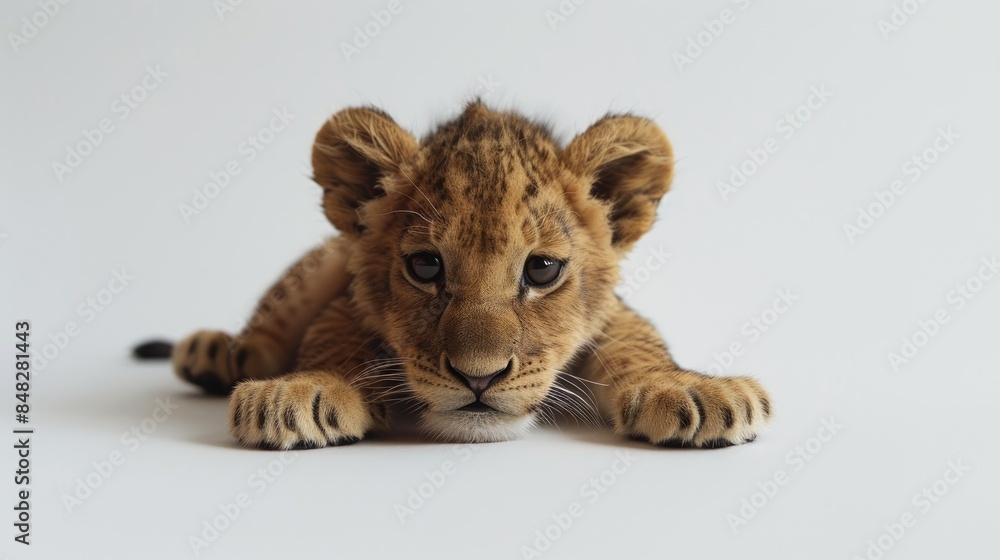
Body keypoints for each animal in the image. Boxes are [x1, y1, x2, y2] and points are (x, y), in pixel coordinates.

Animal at [151, 101, 772, 449]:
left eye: (542, 269)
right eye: (426, 266)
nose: (480, 378)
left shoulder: (608, 316)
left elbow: (636, 340)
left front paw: (691, 387)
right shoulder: (347, 302)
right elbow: (332, 336)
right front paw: (305, 390)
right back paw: (218, 352)